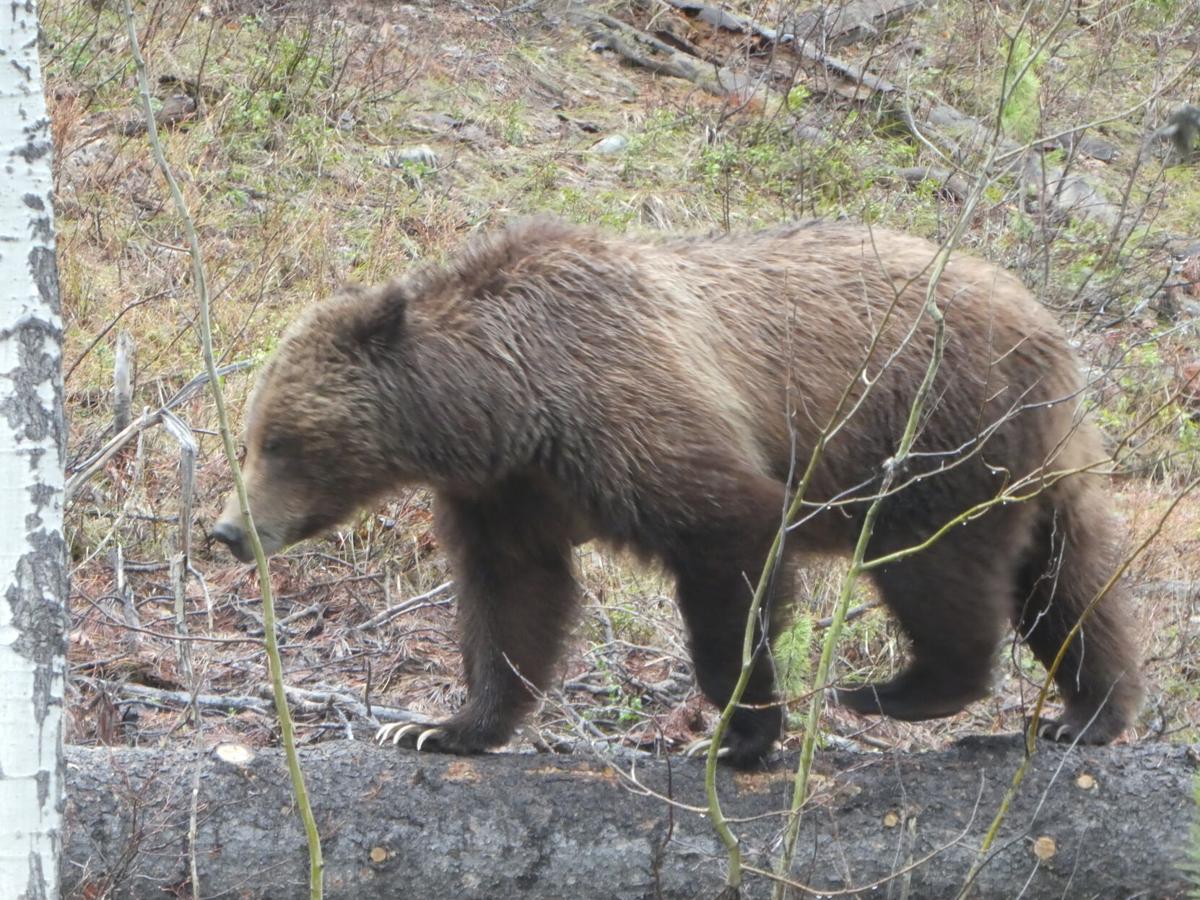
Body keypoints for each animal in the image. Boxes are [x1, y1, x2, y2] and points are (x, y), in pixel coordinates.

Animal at [212, 216, 1144, 768]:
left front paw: (736, 732)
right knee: (1070, 577)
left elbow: (728, 544)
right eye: (250, 438)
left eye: (279, 442)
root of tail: (1045, 322)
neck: (507, 405)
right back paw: (1086, 712)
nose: (228, 531)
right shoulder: (509, 491)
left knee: (938, 564)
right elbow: (513, 596)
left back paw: (902, 689)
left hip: (932, 427)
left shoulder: (628, 409)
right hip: (1034, 455)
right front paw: (439, 724)